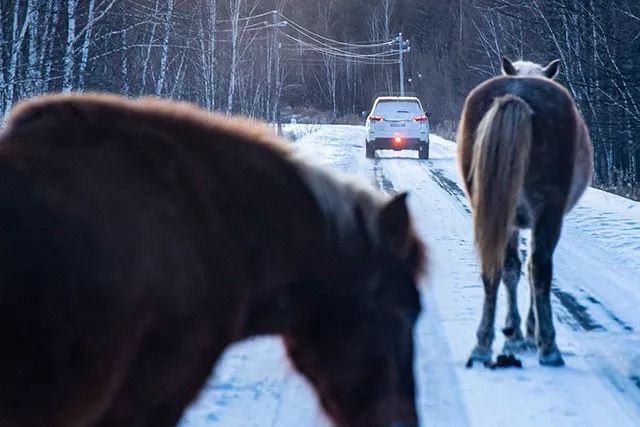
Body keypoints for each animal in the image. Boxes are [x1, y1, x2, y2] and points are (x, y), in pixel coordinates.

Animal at [458, 57, 592, 368]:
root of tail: (516, 95)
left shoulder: (511, 222)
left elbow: (511, 269)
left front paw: (515, 333)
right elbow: (531, 271)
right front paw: (531, 332)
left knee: (494, 267)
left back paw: (483, 346)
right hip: (548, 213)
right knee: (540, 269)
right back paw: (549, 347)